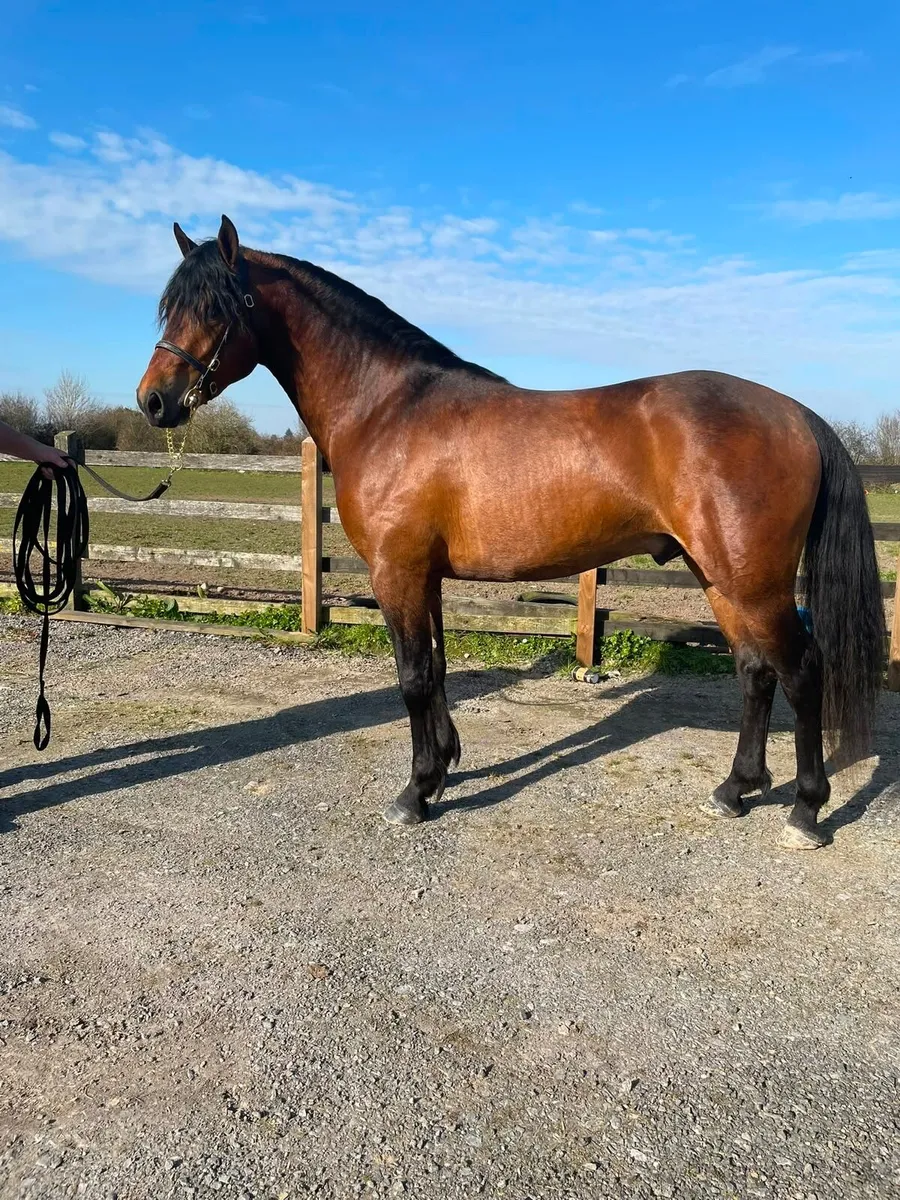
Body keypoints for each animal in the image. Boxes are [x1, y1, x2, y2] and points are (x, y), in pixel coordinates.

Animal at [136, 215, 884, 850]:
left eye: (216, 308)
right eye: (169, 308)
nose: (153, 401)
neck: (387, 408)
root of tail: (797, 414)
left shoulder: (396, 572)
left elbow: (412, 677)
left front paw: (414, 793)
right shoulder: (425, 577)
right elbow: (437, 669)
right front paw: (442, 769)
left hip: (753, 583)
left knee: (802, 671)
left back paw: (805, 811)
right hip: (720, 579)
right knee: (756, 671)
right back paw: (735, 790)